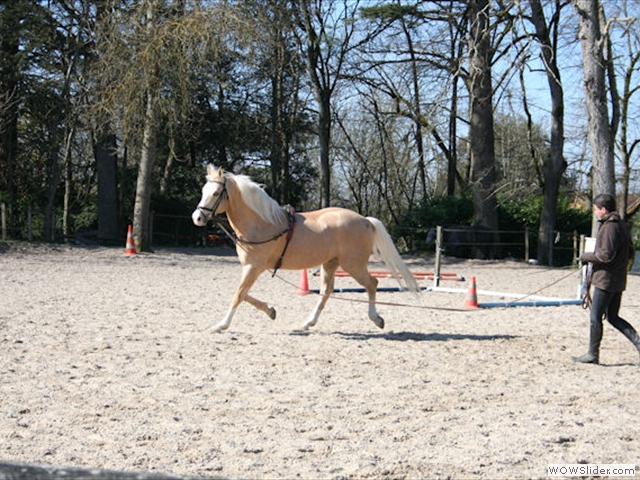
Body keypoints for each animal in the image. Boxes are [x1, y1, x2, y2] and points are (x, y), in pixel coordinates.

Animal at [191, 163, 420, 332]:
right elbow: (244, 293)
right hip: (330, 264)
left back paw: (376, 319)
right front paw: (270, 310)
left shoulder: (253, 268)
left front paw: (221, 325)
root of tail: (365, 220)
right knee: (326, 291)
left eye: (216, 193)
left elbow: (238, 294)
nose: (197, 217)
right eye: (203, 191)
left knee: (372, 284)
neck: (261, 223)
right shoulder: (252, 268)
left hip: (353, 265)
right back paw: (308, 322)